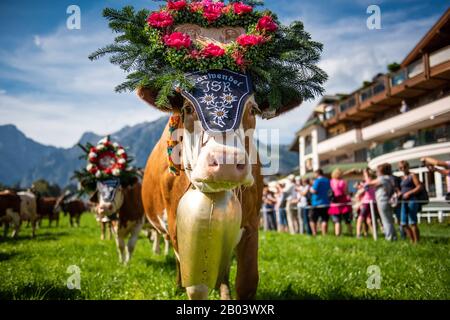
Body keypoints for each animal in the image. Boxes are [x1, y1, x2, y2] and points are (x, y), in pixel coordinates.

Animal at [138, 82, 264, 300]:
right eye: (188, 108)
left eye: (253, 110)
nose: (225, 161)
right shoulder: (178, 225)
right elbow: (197, 286)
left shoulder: (252, 223)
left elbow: (247, 282)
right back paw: (178, 285)